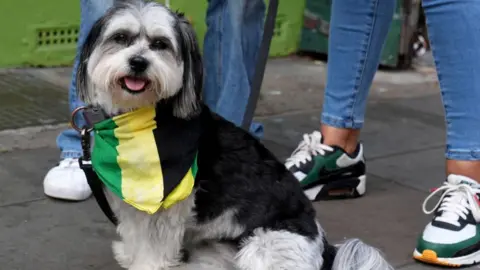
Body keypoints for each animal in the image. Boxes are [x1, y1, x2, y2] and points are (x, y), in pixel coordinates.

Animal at [74, 1, 390, 268]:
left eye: (160, 44)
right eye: (121, 38)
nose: (139, 62)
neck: (141, 119)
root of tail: (323, 247)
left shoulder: (167, 204)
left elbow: (154, 245)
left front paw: (146, 265)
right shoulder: (130, 198)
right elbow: (134, 232)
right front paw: (130, 256)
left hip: (263, 247)